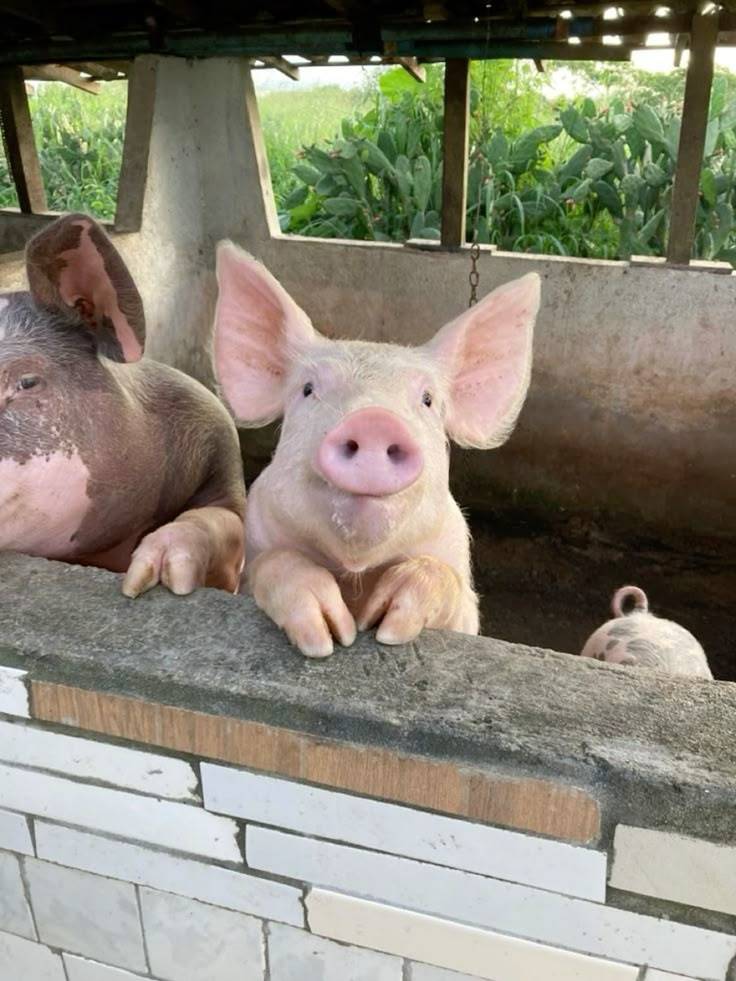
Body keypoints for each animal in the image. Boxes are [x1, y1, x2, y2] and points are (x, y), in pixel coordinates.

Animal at [213, 241, 540, 657]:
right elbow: (274, 563)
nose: (373, 420)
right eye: (308, 389)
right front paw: (326, 638)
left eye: (428, 399)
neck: (357, 573)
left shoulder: (460, 581)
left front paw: (387, 627)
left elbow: (444, 583)